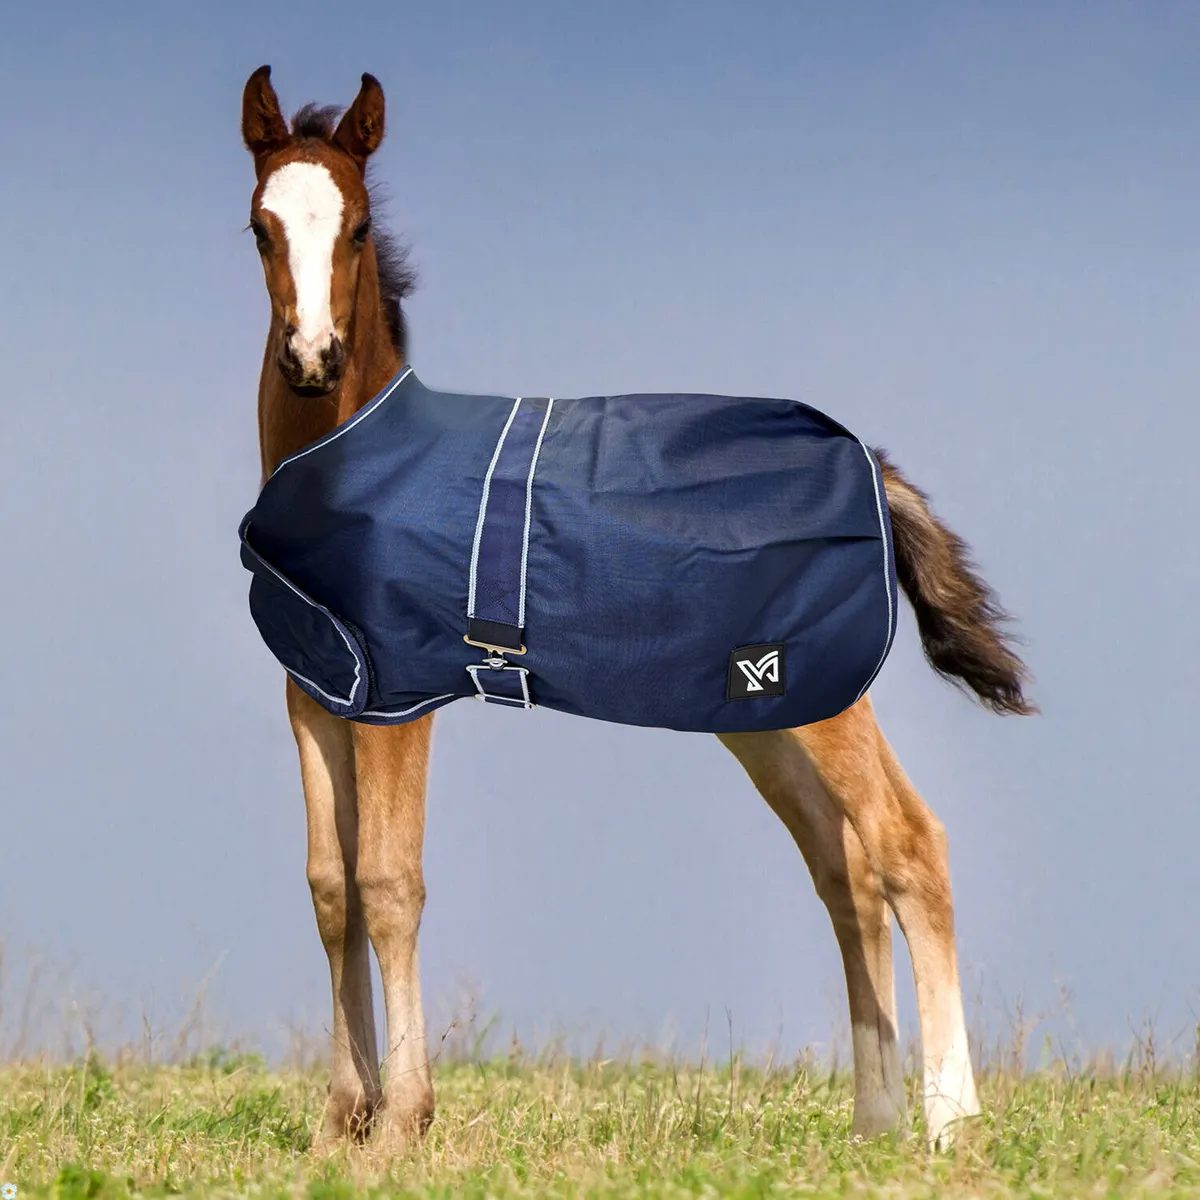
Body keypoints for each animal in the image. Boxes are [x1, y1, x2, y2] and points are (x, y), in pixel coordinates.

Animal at [240, 65, 1034, 1152]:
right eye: (261, 227)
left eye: (357, 228)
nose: (312, 357)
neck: (348, 464)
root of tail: (869, 463)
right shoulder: (314, 692)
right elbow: (330, 889)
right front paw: (338, 1124)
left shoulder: (399, 699)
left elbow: (390, 885)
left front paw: (402, 1123)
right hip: (767, 710)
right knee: (845, 875)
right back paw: (872, 1124)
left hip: (820, 702)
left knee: (908, 845)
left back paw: (951, 1124)